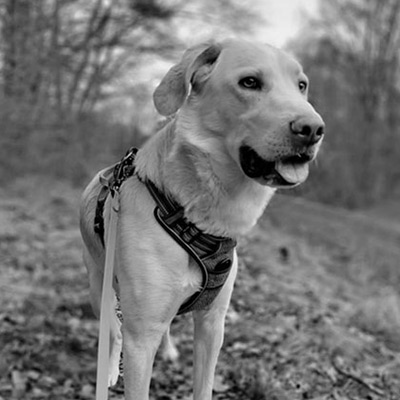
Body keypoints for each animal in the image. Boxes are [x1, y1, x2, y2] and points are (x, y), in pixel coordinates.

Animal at [79, 38, 324, 400]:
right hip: (99, 282)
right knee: (111, 327)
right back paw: (108, 367)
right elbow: (125, 341)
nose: (313, 129)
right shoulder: (141, 338)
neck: (194, 216)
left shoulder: (212, 324)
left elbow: (204, 384)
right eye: (250, 82)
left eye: (302, 85)